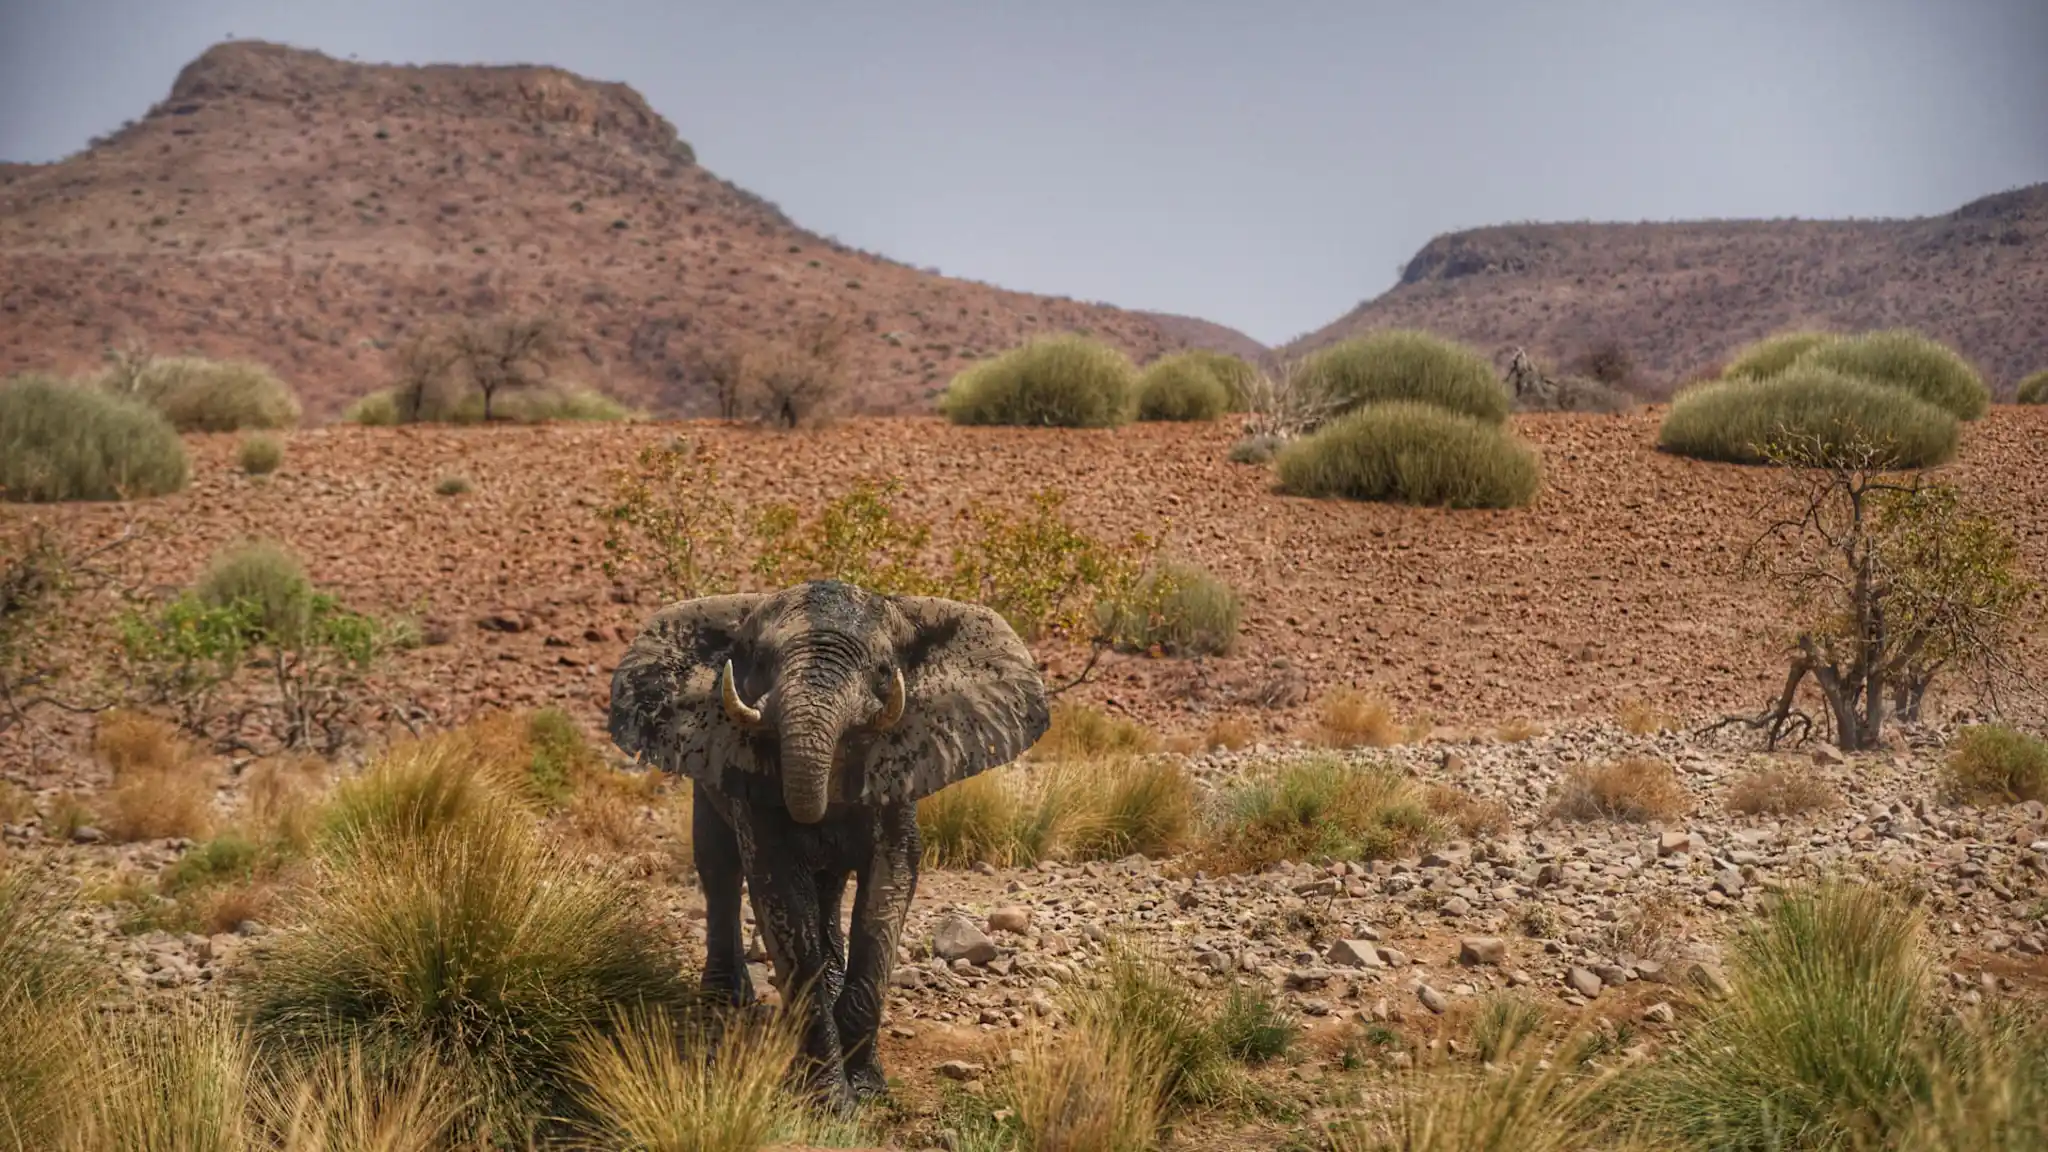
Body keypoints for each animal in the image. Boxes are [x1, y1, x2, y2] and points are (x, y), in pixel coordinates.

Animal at [605, 579, 1050, 1106]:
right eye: (757, 659)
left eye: (883, 670)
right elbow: (781, 895)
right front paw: (830, 1102)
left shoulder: (900, 773)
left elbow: (887, 892)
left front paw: (868, 1087)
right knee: (719, 869)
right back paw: (726, 1001)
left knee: (827, 888)